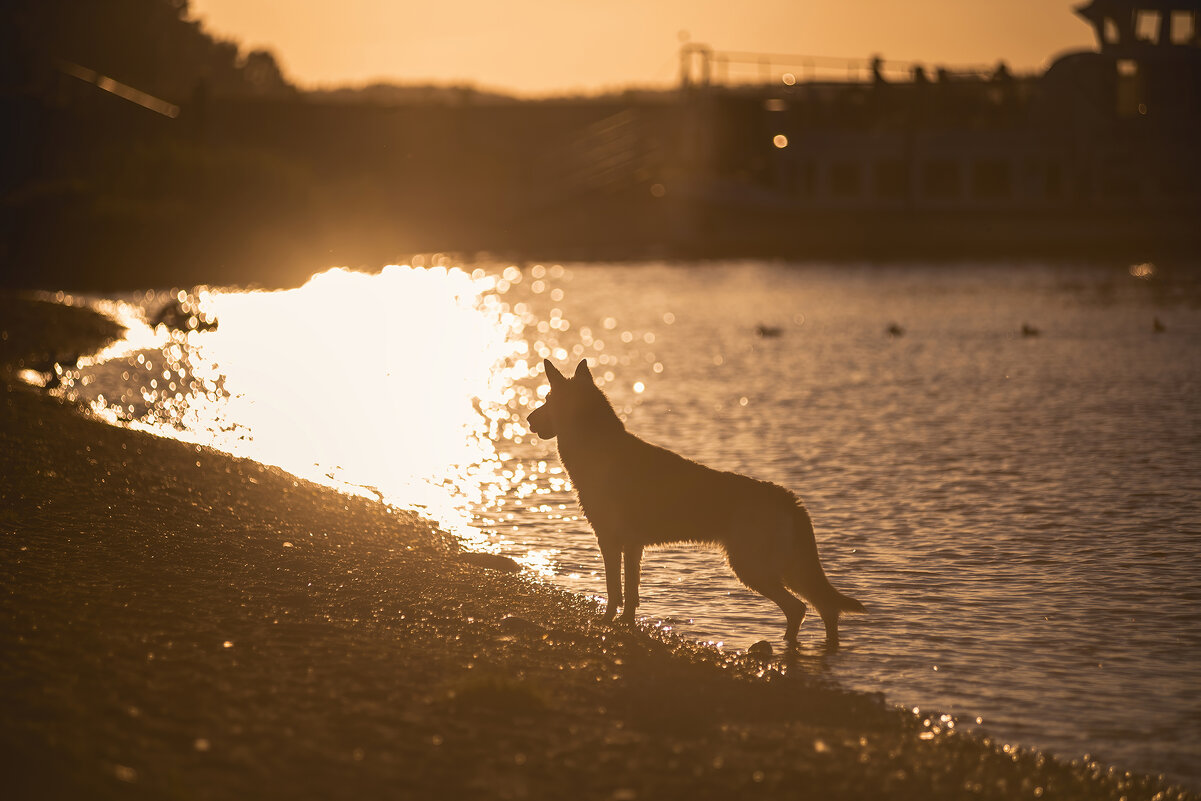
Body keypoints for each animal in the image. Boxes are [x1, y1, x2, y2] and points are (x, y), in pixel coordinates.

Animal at [528, 360, 864, 648]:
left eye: (547, 398)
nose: (528, 420)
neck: (596, 445)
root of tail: (788, 497)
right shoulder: (631, 547)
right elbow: (630, 594)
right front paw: (626, 624)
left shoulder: (611, 542)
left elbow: (615, 591)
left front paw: (609, 622)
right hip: (784, 570)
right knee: (824, 608)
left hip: (754, 569)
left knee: (800, 608)